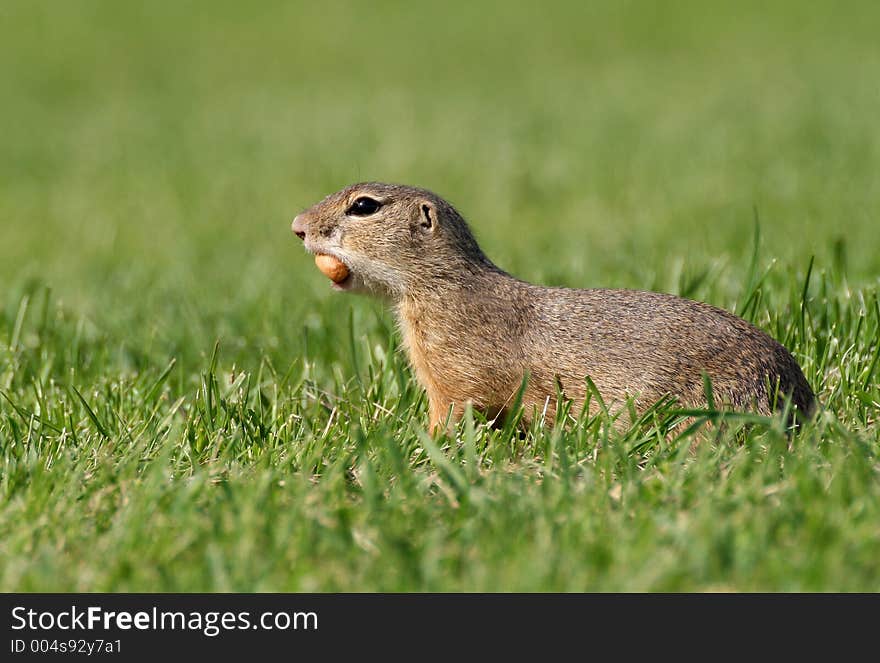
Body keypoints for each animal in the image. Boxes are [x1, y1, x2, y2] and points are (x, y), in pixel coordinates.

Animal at [292, 183, 816, 430]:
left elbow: (453, 410)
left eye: (364, 206)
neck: (441, 288)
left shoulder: (455, 372)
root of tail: (800, 400)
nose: (297, 226)